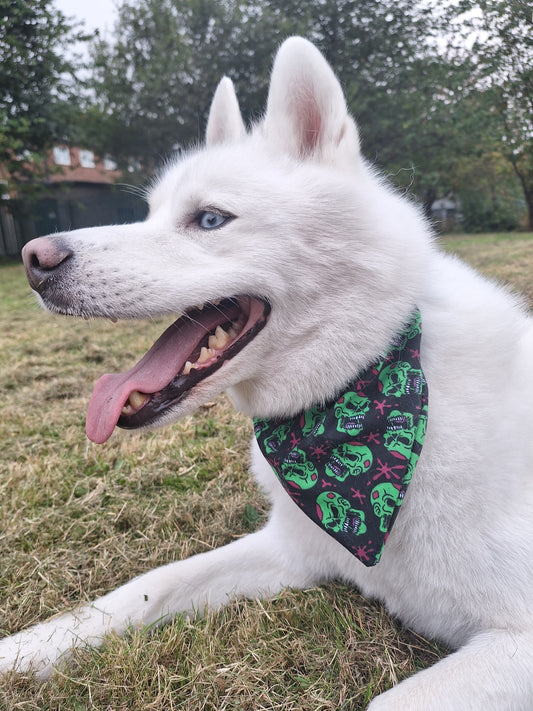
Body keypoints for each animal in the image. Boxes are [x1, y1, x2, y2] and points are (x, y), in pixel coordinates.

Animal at [3, 36, 532, 708]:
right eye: (151, 214)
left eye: (209, 219)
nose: (33, 260)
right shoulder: (288, 549)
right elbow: (144, 589)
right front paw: (25, 651)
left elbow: (391, 700)